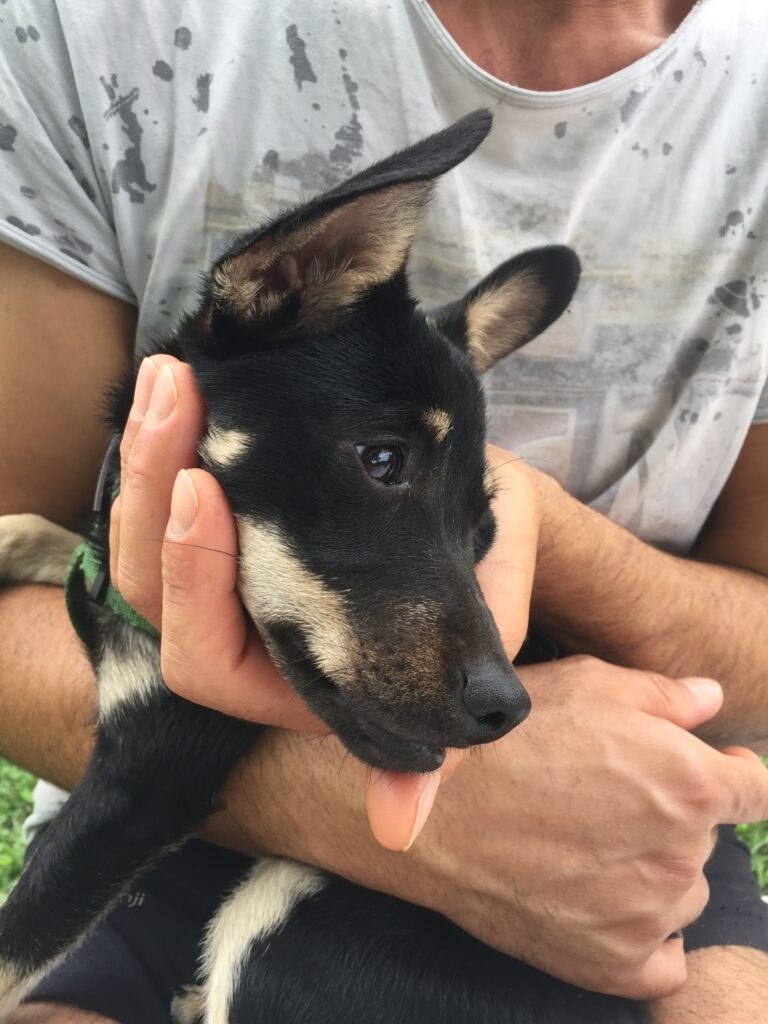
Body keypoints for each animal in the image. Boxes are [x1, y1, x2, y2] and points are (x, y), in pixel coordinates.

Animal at [0, 112, 651, 1024]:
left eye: (484, 533)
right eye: (382, 460)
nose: (509, 709)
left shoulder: (149, 778)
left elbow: (14, 944)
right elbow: (61, 536)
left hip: (277, 914)